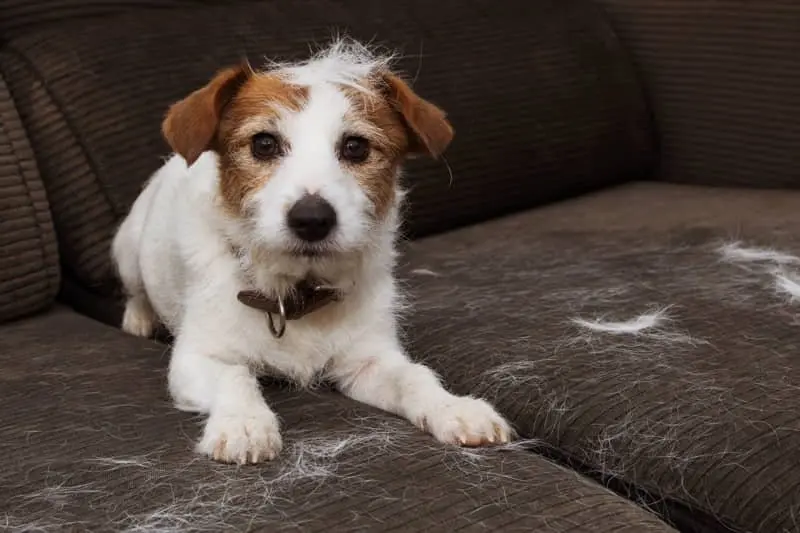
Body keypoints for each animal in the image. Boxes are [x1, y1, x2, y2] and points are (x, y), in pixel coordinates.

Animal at [111, 39, 512, 462]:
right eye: (264, 143)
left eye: (355, 147)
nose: (312, 219)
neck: (295, 294)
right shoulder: (197, 358)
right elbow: (234, 376)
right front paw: (244, 423)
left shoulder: (368, 361)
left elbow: (414, 377)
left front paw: (454, 408)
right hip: (128, 249)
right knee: (136, 290)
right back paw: (139, 319)